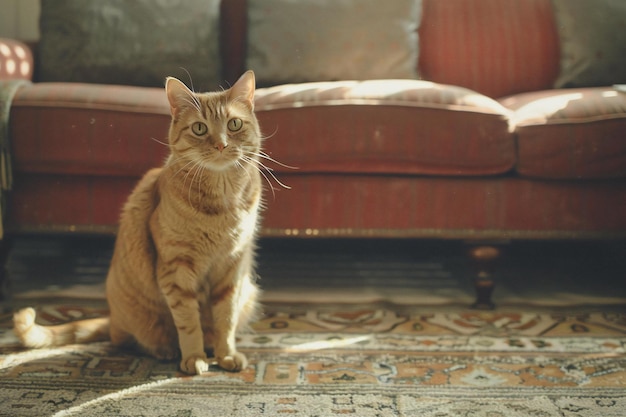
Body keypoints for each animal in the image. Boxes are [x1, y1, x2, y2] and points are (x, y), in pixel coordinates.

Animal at [12, 70, 260, 374]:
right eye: (200, 129)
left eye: (234, 124)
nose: (221, 145)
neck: (223, 203)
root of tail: (113, 318)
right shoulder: (176, 271)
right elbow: (189, 323)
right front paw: (194, 357)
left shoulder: (233, 270)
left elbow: (225, 319)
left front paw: (226, 355)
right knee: (128, 339)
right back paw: (165, 350)